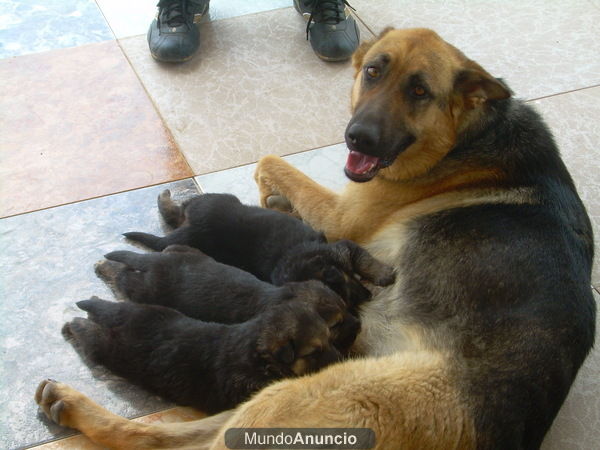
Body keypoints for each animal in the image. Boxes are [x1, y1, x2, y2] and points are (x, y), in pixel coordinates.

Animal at [95, 246, 358, 356]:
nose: (359, 326)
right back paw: (103, 266)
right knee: (122, 276)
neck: (278, 296)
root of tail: (157, 262)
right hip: (144, 289)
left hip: (182, 250)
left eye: (347, 308)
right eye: (334, 325)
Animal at [122, 190, 396, 312]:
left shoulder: (343, 248)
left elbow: (365, 259)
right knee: (175, 212)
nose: (368, 296)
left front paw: (384, 274)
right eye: (345, 297)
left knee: (177, 211)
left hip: (215, 201)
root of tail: (192, 227)